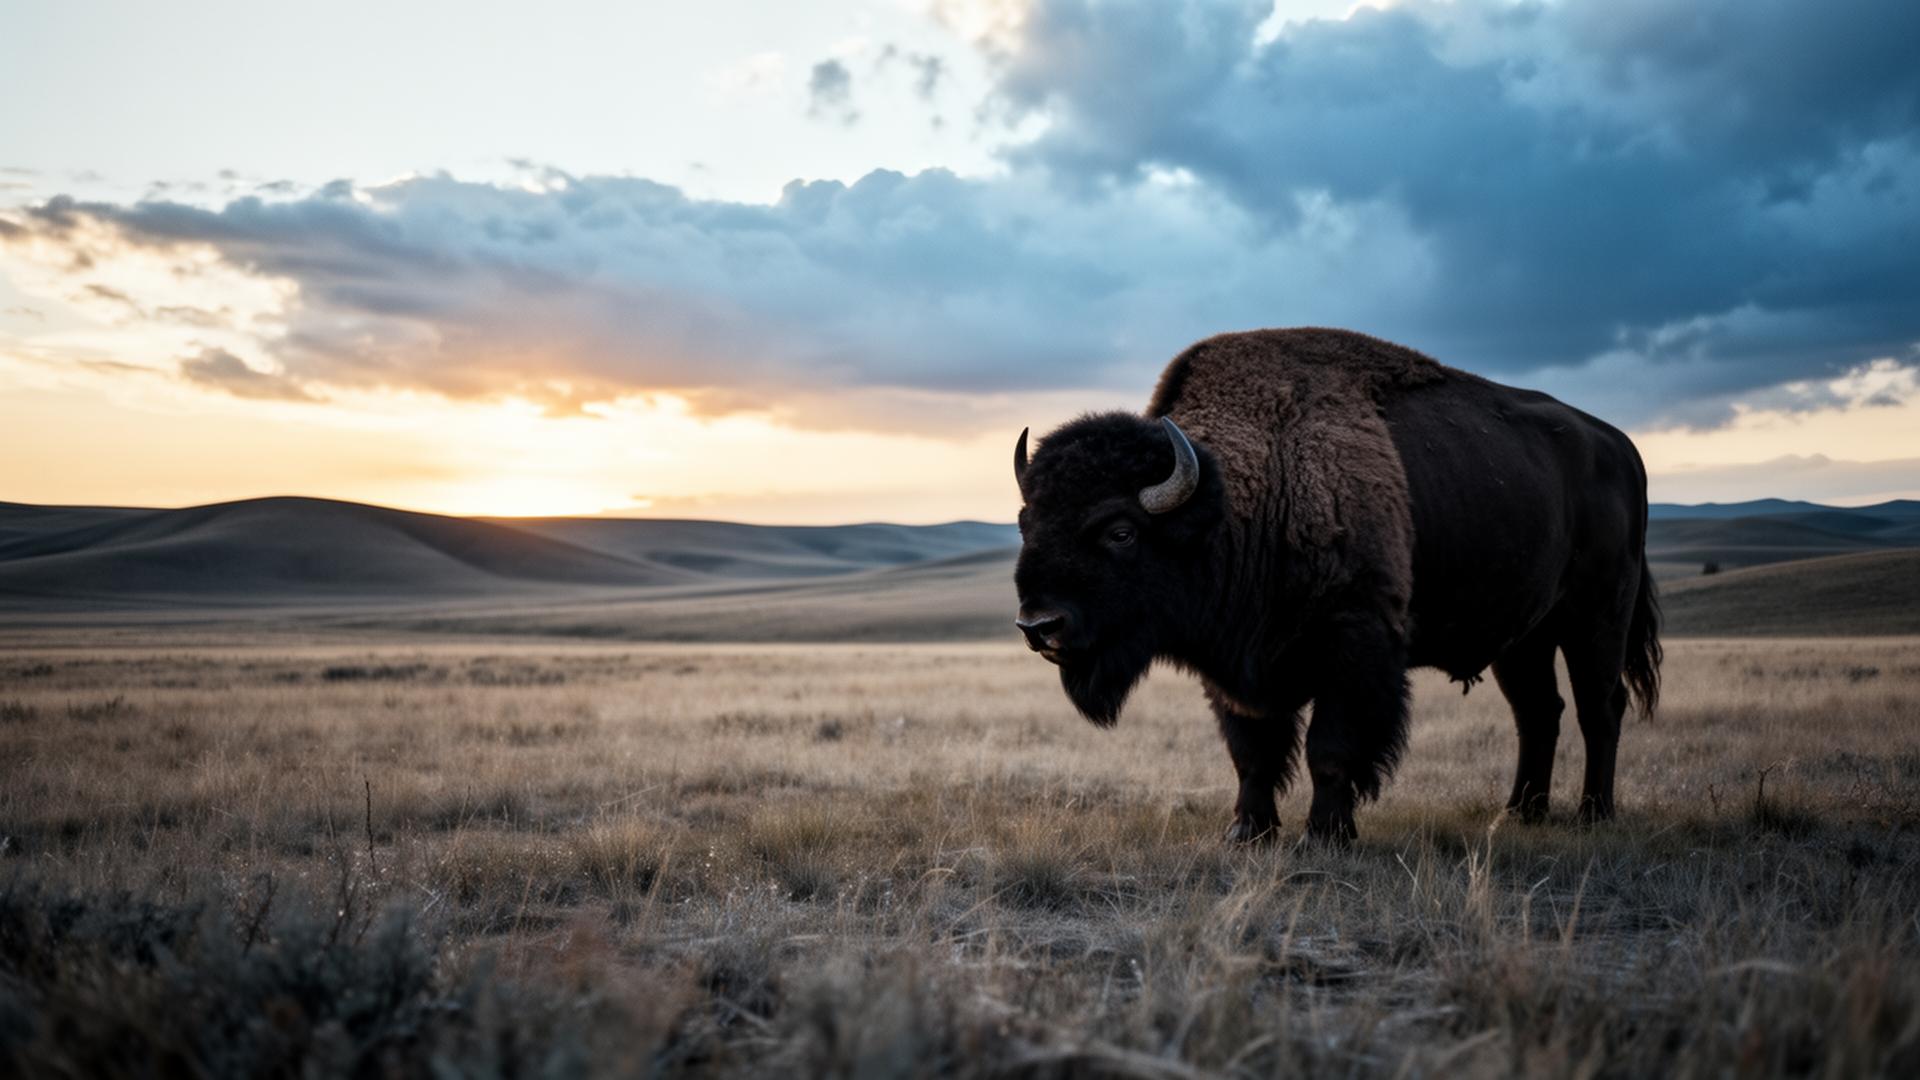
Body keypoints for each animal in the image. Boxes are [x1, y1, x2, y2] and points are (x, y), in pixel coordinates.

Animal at [1013, 328, 1660, 844]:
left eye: (1120, 531)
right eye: (1026, 523)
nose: (1039, 626)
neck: (1242, 499)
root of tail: (1622, 448)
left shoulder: (1354, 649)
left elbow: (1329, 748)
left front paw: (1324, 835)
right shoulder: (1236, 669)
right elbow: (1252, 752)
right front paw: (1247, 832)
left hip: (1597, 616)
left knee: (1599, 706)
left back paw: (1593, 814)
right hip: (1523, 638)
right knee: (1538, 711)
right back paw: (1520, 814)